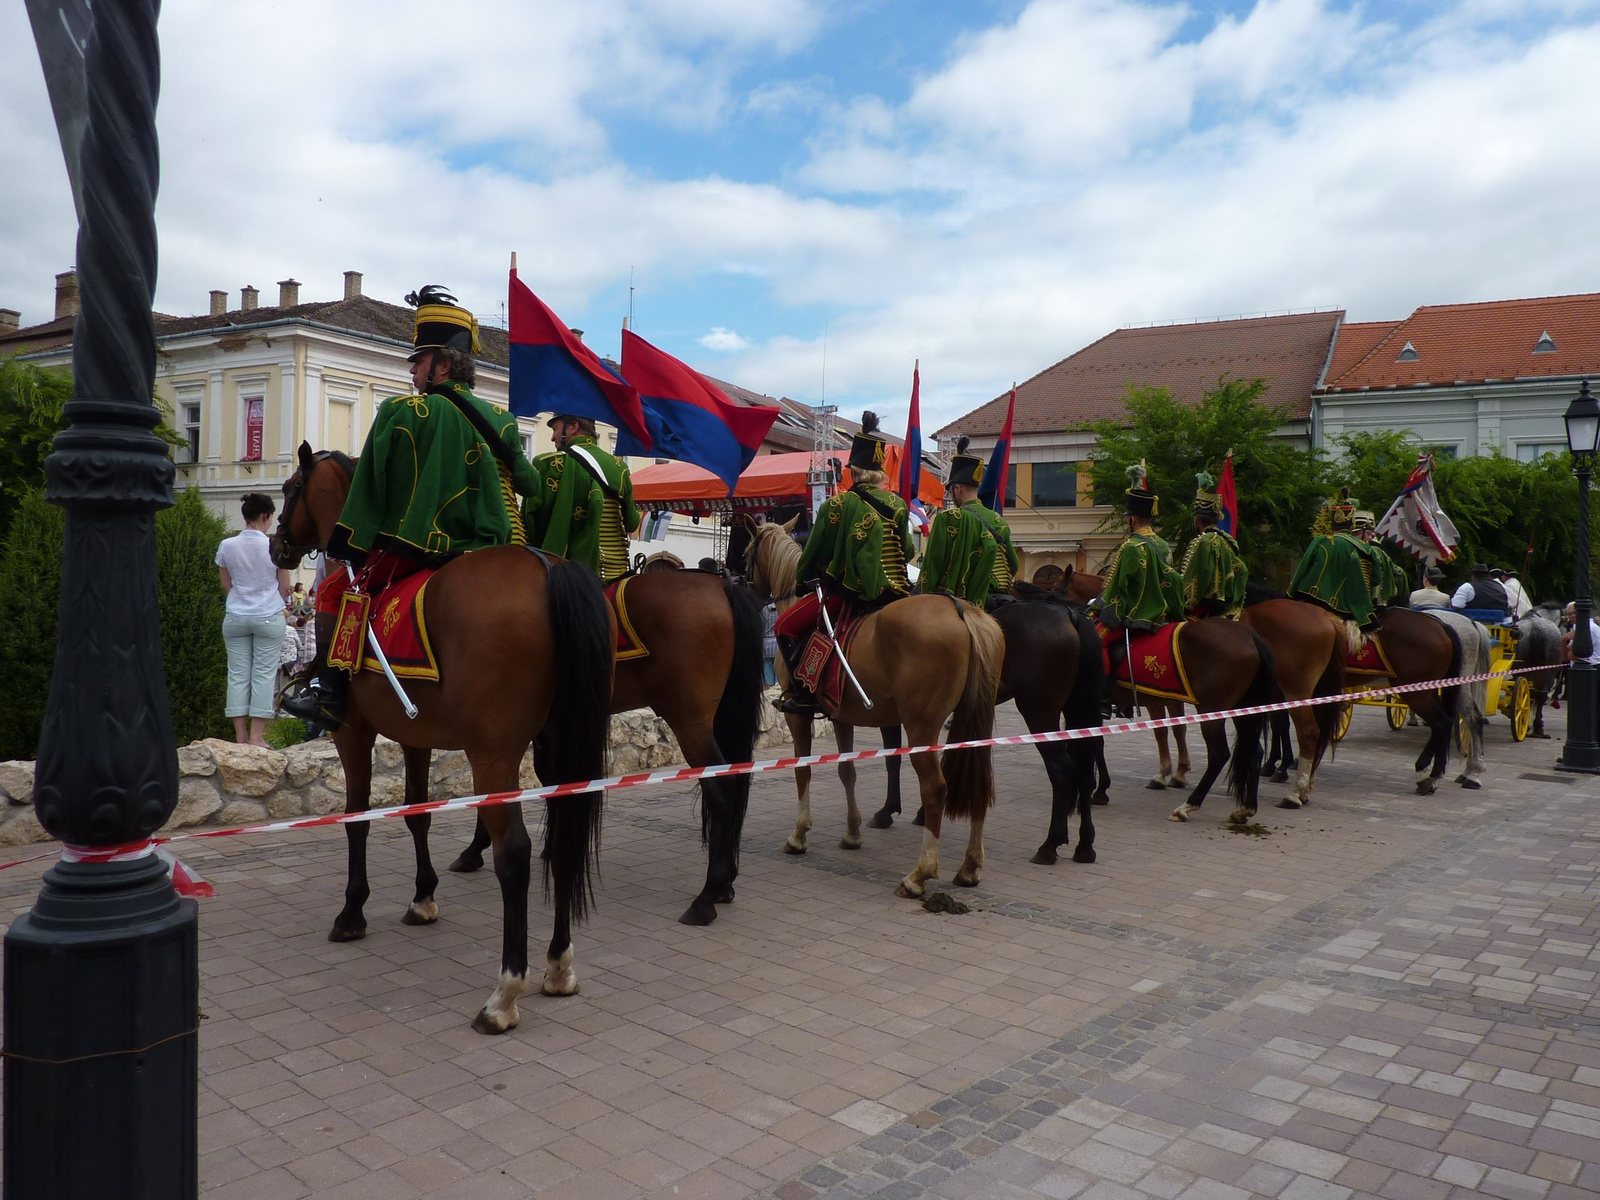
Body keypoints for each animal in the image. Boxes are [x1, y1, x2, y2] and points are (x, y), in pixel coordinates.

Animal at [272, 448, 608, 1036]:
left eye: (292, 488)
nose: (275, 544)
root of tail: (551, 568)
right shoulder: (415, 736)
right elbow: (416, 812)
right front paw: (422, 898)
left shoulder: (353, 733)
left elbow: (358, 817)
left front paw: (352, 911)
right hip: (557, 750)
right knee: (563, 839)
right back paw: (558, 965)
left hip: (494, 755)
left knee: (515, 853)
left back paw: (504, 993)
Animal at [742, 521, 1004, 896]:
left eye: (746, 552)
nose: (743, 585)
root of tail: (962, 610)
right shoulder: (840, 716)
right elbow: (846, 771)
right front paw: (852, 832)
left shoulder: (797, 715)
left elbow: (802, 771)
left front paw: (799, 835)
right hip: (971, 724)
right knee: (978, 782)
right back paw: (970, 867)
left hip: (921, 727)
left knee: (936, 789)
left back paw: (919, 874)